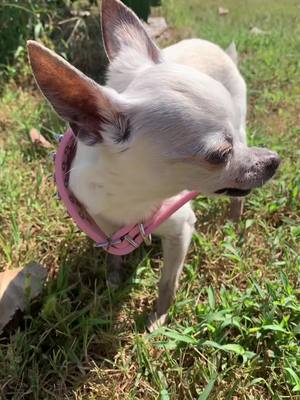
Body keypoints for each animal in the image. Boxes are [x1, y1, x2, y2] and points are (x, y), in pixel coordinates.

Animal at [27, 0, 280, 332]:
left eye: (227, 149)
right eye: (220, 155)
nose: (274, 161)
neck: (132, 198)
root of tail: (214, 47)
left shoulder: (180, 230)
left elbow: (167, 283)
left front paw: (159, 318)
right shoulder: (105, 227)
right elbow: (113, 256)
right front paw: (114, 277)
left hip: (241, 121)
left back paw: (233, 221)